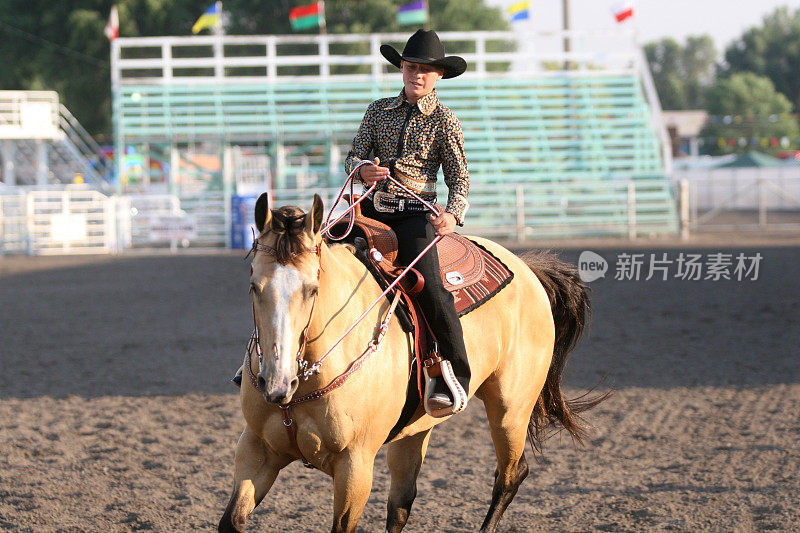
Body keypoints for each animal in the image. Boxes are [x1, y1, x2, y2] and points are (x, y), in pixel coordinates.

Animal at [219, 192, 608, 532]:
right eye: (254, 286)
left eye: (312, 288)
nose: (276, 384)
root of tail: (527, 268)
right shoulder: (256, 448)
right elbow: (231, 522)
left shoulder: (355, 466)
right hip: (416, 430)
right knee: (402, 503)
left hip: (510, 408)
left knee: (511, 474)